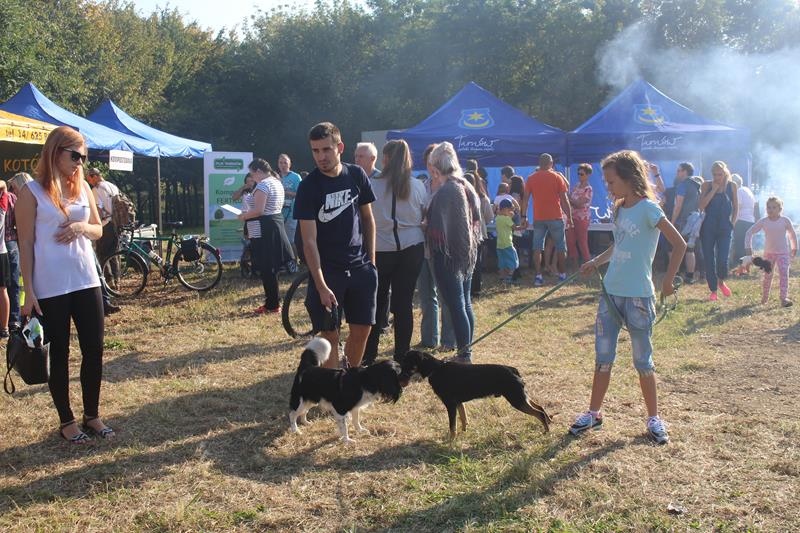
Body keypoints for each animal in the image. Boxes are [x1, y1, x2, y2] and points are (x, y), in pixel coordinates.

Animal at [398, 350, 552, 441]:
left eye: (406, 364)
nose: (398, 379)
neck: (436, 369)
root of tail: (513, 370)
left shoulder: (450, 404)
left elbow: (452, 426)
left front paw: (451, 441)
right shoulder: (458, 403)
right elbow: (463, 418)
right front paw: (464, 431)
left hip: (516, 399)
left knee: (538, 413)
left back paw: (546, 431)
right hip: (521, 396)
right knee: (540, 406)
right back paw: (549, 421)